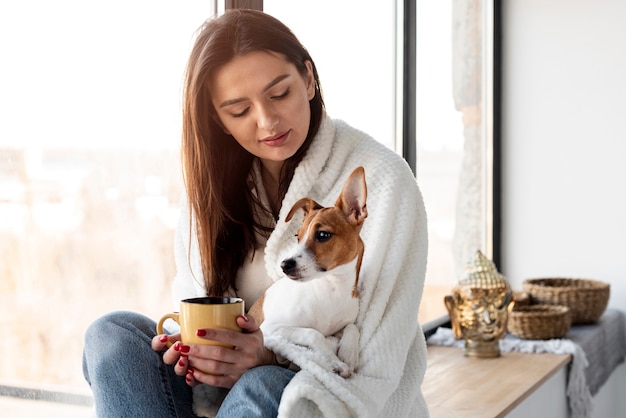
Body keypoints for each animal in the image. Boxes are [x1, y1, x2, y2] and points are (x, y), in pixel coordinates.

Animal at [249, 167, 366, 378]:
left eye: (323, 235)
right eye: (298, 236)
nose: (284, 265)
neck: (331, 289)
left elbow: (352, 326)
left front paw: (348, 353)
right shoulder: (270, 328)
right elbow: (313, 333)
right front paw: (336, 362)